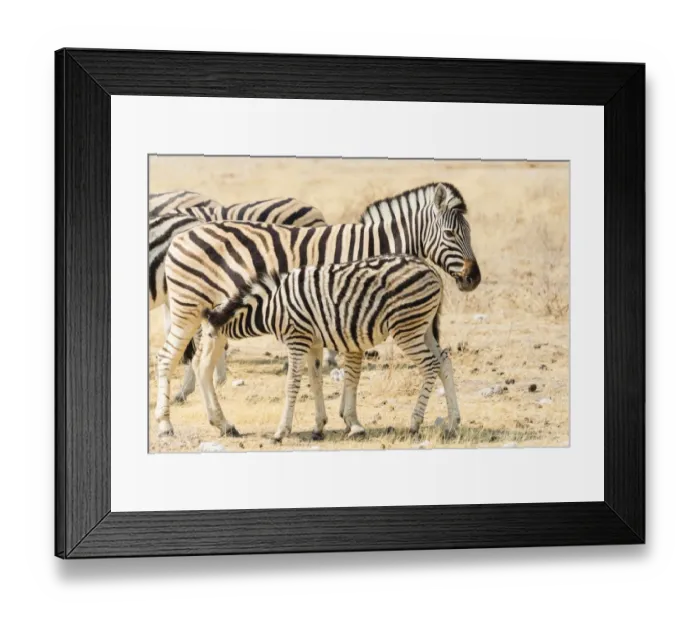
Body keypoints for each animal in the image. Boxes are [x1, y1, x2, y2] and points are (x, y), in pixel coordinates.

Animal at [201, 255, 446, 441]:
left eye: (209, 336)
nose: (201, 365)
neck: (273, 307)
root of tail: (431, 270)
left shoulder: (297, 339)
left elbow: (292, 383)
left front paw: (281, 431)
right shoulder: (313, 343)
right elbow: (316, 381)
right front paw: (319, 426)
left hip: (406, 328)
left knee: (430, 365)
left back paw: (415, 423)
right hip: (423, 327)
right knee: (444, 361)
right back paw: (452, 422)